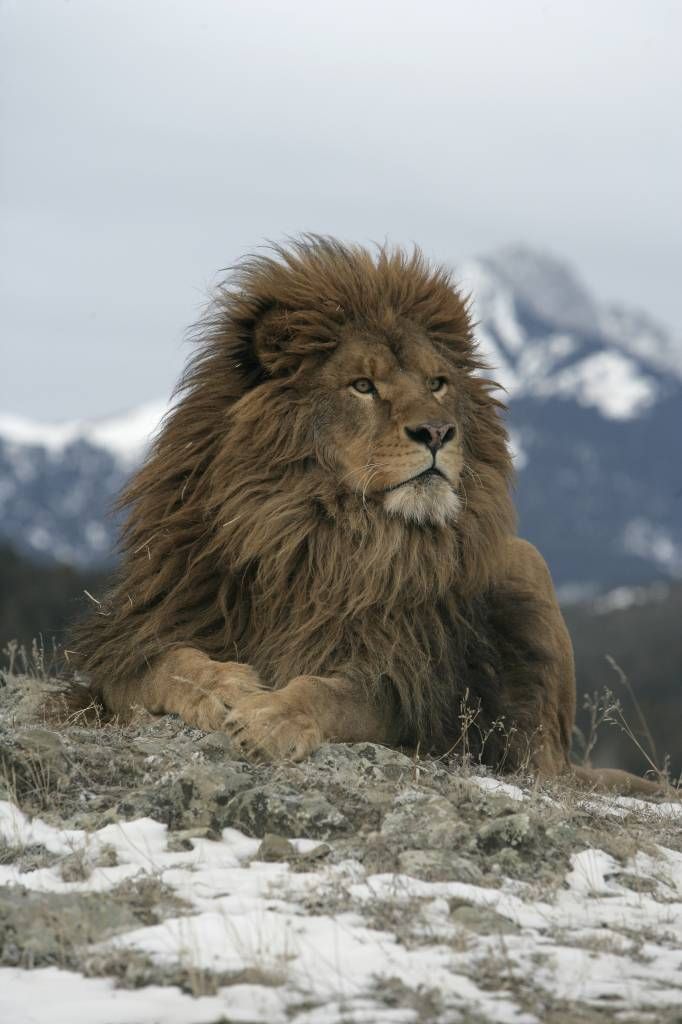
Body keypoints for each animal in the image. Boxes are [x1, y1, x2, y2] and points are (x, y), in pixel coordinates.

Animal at [71, 235, 659, 794]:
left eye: (437, 383)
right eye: (362, 386)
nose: (437, 432)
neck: (312, 535)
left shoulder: (402, 682)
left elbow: (326, 692)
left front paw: (270, 716)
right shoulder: (133, 641)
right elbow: (168, 666)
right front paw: (225, 689)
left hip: (526, 566)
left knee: (544, 759)